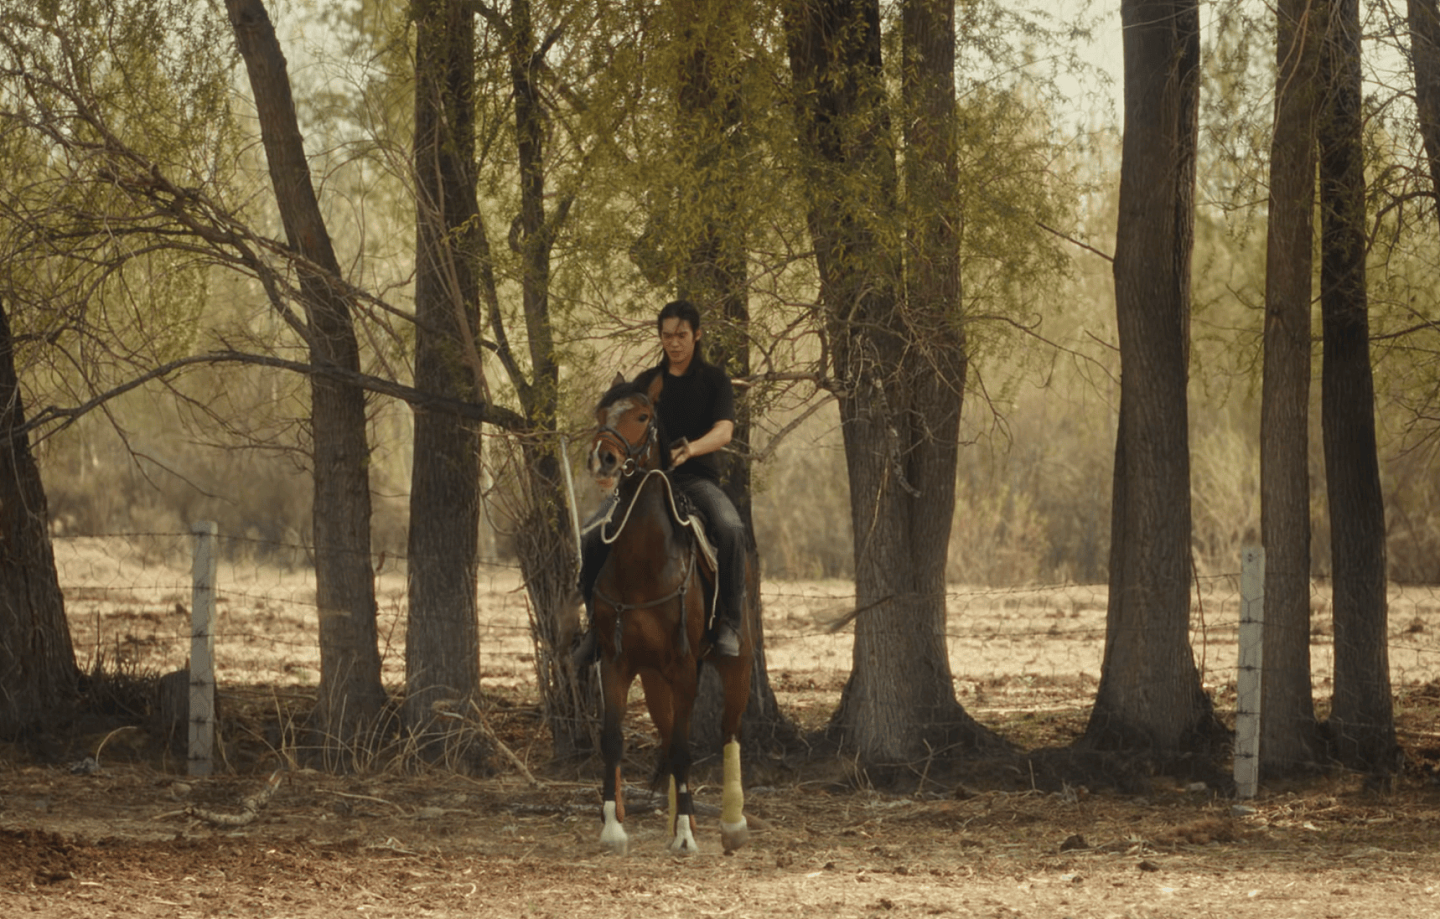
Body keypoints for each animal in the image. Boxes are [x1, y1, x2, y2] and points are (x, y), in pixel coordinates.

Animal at [584, 371, 754, 858]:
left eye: (643, 416)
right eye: (601, 413)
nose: (603, 459)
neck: (645, 561)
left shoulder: (683, 667)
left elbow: (683, 748)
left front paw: (684, 835)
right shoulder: (617, 663)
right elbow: (614, 740)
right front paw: (613, 829)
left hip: (735, 664)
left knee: (728, 732)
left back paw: (732, 825)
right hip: (655, 677)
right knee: (667, 732)